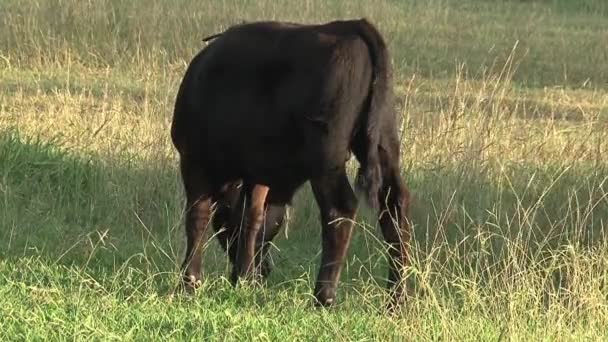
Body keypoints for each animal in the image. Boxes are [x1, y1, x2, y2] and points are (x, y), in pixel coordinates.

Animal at [169, 17, 410, 308]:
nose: (264, 270)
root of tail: (349, 26)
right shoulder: (258, 176)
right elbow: (252, 219)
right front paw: (244, 278)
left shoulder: (194, 162)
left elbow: (198, 217)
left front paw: (189, 283)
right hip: (383, 145)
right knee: (394, 205)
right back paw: (397, 298)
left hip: (326, 161)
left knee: (340, 208)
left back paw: (323, 296)